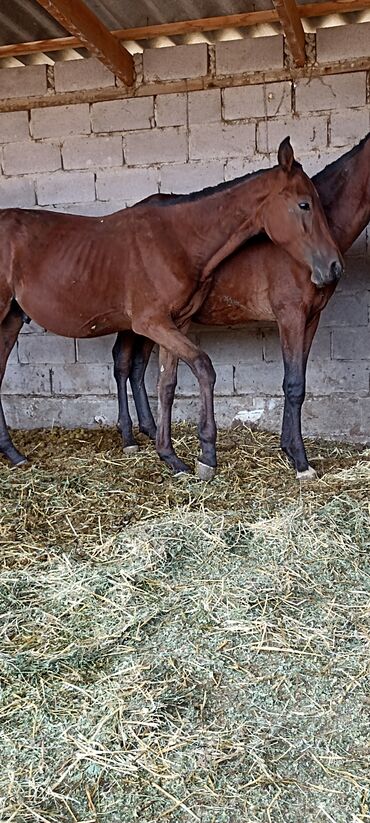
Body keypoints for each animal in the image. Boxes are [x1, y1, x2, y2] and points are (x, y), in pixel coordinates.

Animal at [0, 138, 342, 476]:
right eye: (304, 204)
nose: (334, 267)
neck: (177, 241)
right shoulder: (152, 323)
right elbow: (203, 367)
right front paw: (206, 455)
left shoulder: (177, 322)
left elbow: (167, 384)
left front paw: (170, 457)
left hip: (12, 319)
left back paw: (13, 453)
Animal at [108, 134, 368, 476]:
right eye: (304, 205)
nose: (333, 268)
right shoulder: (291, 316)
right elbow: (294, 384)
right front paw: (300, 461)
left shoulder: (311, 319)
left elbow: (297, 381)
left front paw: (289, 449)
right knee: (123, 364)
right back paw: (129, 438)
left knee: (138, 367)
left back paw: (151, 432)